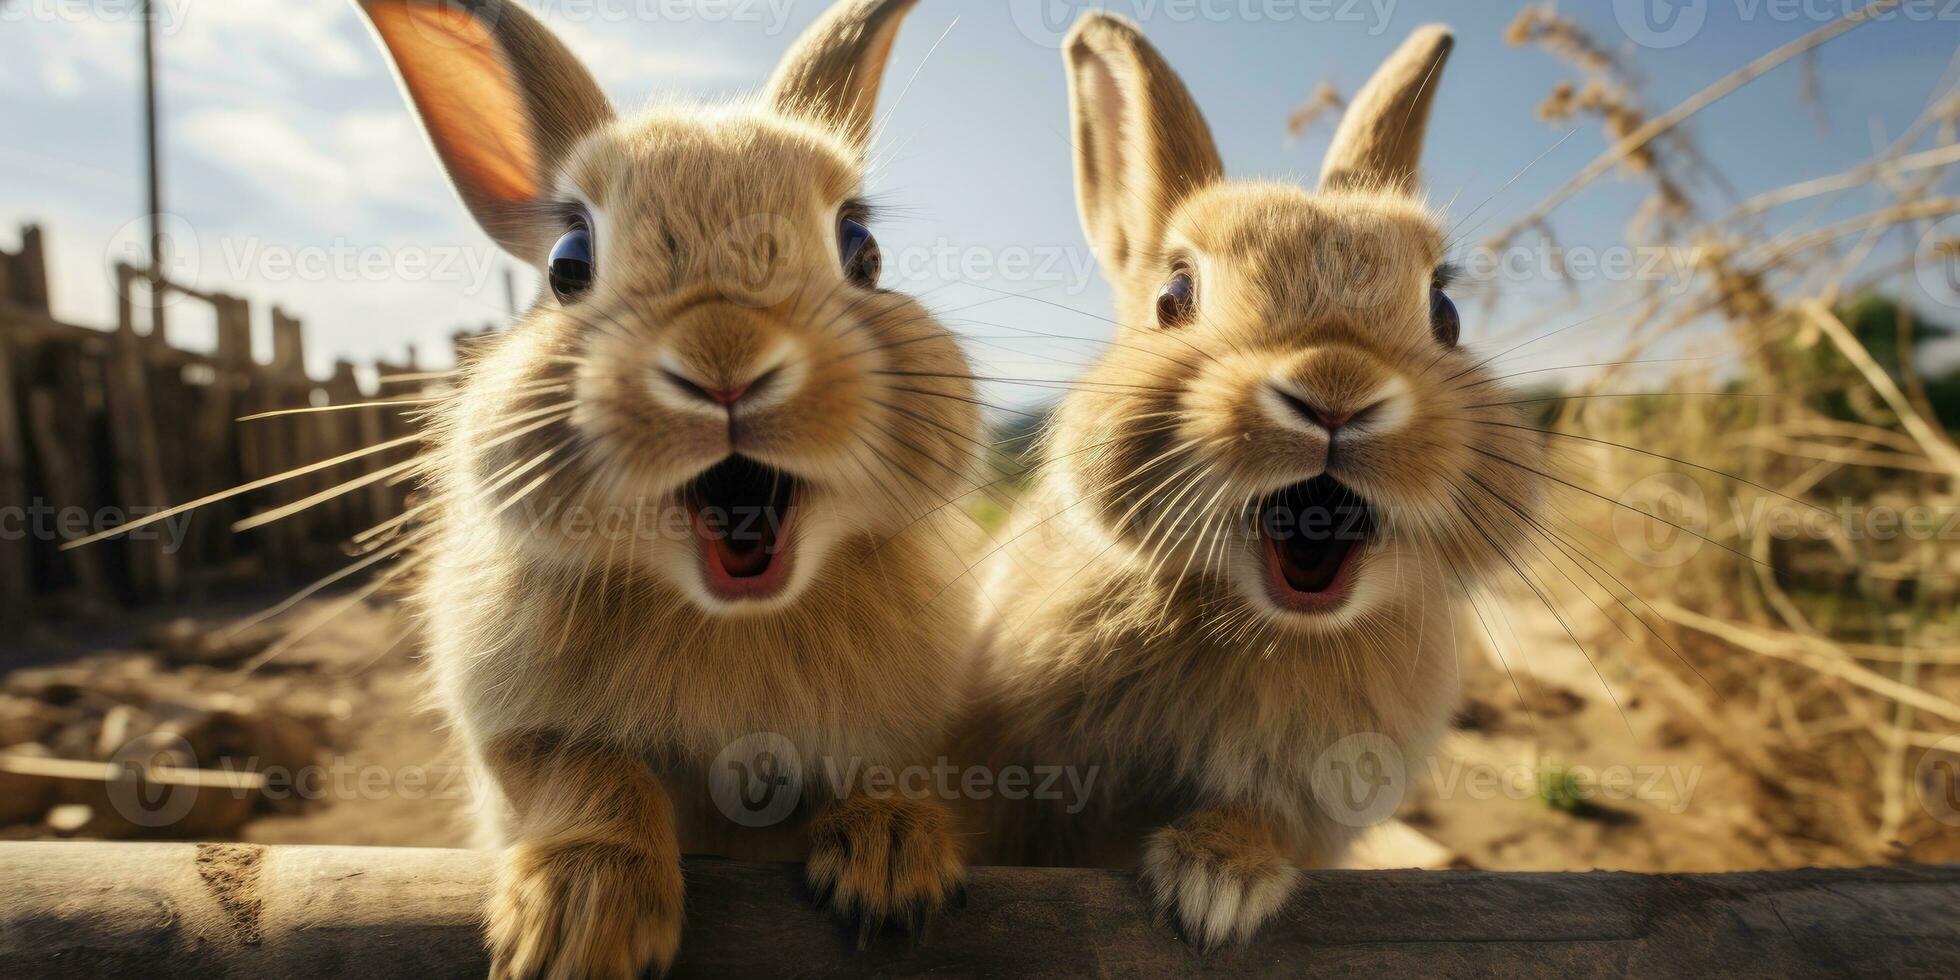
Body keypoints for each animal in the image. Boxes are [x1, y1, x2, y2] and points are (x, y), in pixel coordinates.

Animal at [354, 3, 980, 976]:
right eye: (569, 263)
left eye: (863, 249)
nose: (725, 357)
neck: (733, 614)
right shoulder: (523, 737)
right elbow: (591, 775)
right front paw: (580, 922)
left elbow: (887, 767)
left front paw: (892, 861)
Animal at [960, 13, 1544, 948]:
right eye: (1174, 295)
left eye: (1446, 314)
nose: (1336, 389)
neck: (1265, 626)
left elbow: (1262, 823)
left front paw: (1217, 888)